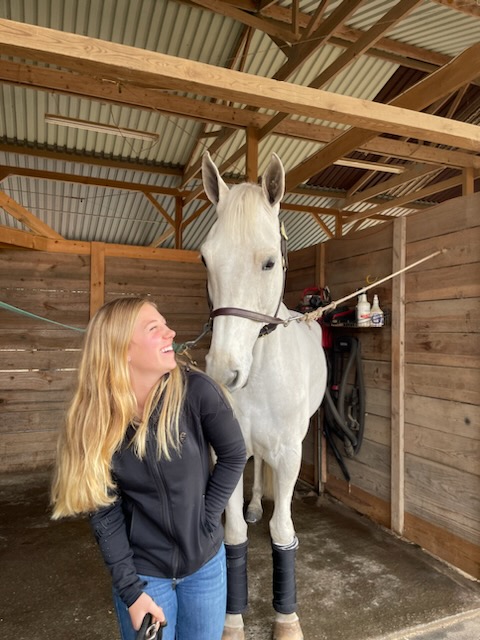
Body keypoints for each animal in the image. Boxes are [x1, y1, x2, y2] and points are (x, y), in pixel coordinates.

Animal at [201, 151, 327, 640]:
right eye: (205, 259)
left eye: (270, 262)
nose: (223, 372)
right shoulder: (229, 453)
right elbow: (233, 532)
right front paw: (232, 621)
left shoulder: (290, 453)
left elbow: (282, 531)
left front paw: (286, 620)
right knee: (256, 469)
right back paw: (255, 502)